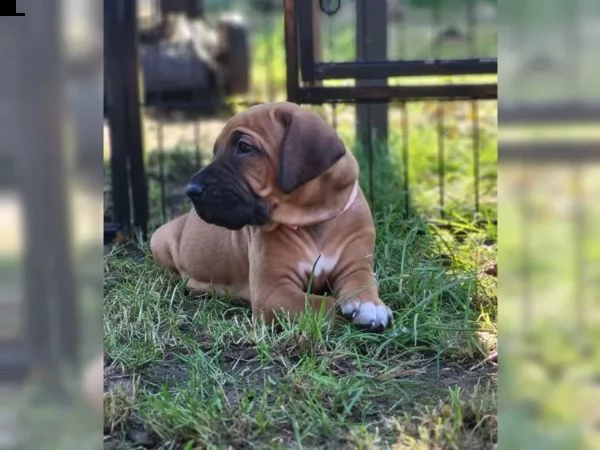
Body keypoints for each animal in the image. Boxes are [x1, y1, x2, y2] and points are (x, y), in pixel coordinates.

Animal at [152, 100, 392, 328]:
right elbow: (323, 305)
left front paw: (371, 306)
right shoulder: (273, 291)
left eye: (245, 147)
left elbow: (362, 282)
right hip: (158, 239)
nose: (191, 190)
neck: (313, 219)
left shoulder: (356, 264)